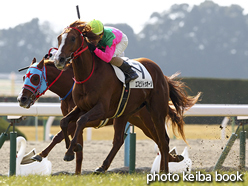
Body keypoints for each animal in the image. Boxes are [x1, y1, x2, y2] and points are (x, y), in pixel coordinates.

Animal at [53, 20, 201, 173]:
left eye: (72, 38)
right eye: (59, 38)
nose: (59, 60)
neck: (89, 74)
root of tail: (162, 75)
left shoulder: (101, 109)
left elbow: (80, 121)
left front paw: (70, 152)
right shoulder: (81, 107)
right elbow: (64, 122)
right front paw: (73, 147)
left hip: (156, 112)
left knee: (163, 140)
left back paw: (164, 171)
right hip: (124, 113)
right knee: (120, 140)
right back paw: (102, 167)